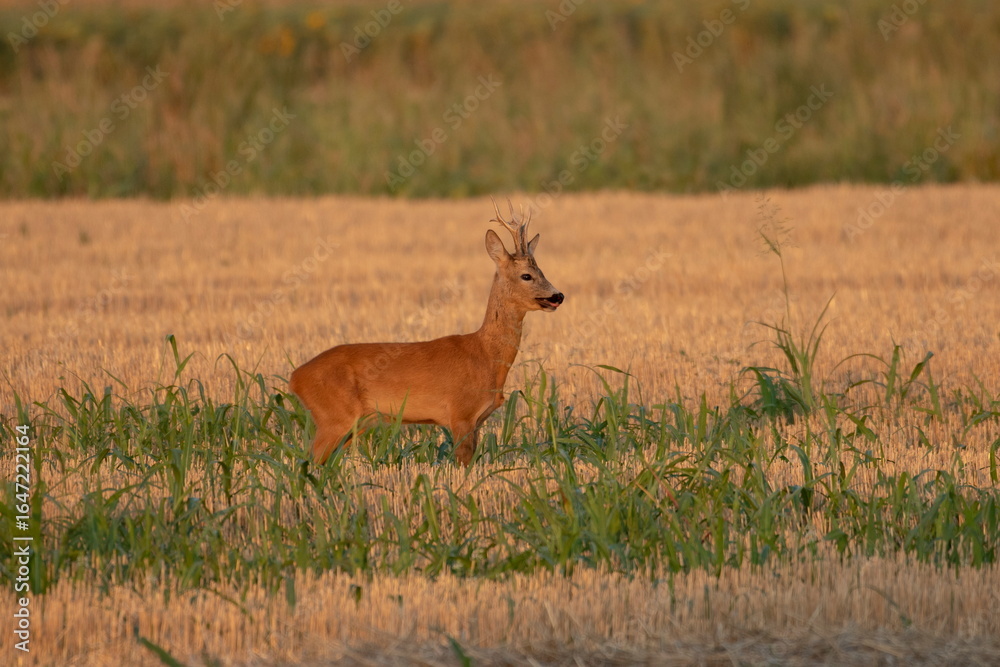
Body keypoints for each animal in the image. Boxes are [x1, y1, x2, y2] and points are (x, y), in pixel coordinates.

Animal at [289, 198, 564, 466]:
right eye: (526, 275)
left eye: (542, 271)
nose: (558, 296)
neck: (485, 355)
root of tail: (295, 377)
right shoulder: (460, 413)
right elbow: (463, 465)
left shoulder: (477, 421)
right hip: (333, 417)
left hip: (353, 424)